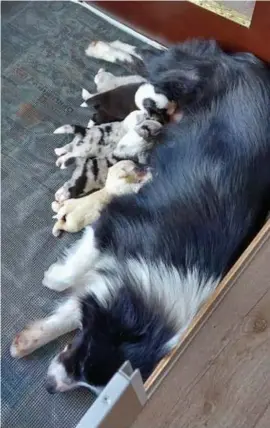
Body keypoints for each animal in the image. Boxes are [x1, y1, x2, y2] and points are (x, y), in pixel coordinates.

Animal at [10, 38, 270, 396]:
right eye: (84, 352)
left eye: (94, 384)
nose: (49, 387)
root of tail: (248, 62)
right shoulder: (116, 222)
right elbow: (71, 275)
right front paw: (53, 277)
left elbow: (76, 304)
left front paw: (30, 338)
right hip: (178, 74)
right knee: (145, 55)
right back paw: (100, 49)